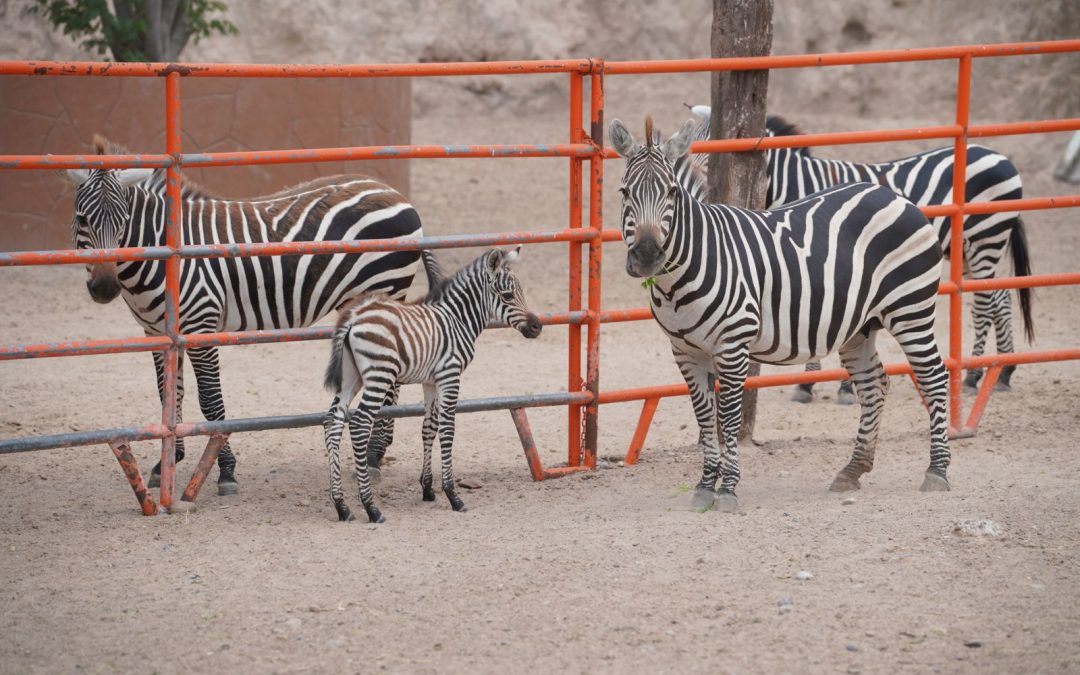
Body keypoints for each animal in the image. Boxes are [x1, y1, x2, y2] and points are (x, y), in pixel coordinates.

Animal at [58, 134, 434, 495]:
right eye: (82, 219)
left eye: (124, 222)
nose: (105, 288)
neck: (166, 253)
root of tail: (394, 193)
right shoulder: (159, 334)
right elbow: (169, 395)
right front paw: (167, 463)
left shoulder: (201, 326)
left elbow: (211, 402)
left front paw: (224, 470)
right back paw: (375, 453)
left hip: (385, 288)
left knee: (391, 380)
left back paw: (372, 455)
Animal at [321, 246, 542, 523]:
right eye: (508, 295)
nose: (537, 327)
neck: (458, 320)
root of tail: (353, 315)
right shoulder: (450, 375)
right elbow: (448, 429)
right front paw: (452, 495)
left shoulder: (430, 381)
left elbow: (429, 427)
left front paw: (427, 488)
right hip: (380, 374)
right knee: (360, 423)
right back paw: (371, 508)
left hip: (351, 376)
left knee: (332, 421)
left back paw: (342, 506)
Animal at [611, 116, 953, 512]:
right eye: (624, 192)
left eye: (672, 193)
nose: (647, 255)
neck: (683, 276)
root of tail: (895, 197)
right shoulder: (685, 351)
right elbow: (704, 417)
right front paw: (704, 485)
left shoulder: (733, 345)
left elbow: (728, 416)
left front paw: (728, 489)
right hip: (861, 327)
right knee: (874, 385)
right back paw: (852, 470)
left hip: (911, 309)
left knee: (935, 378)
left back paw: (937, 472)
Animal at [686, 106, 1034, 403]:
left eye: (709, 155)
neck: (797, 184)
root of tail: (997, 154)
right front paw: (817, 384)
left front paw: (825, 385)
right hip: (971, 249)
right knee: (1000, 297)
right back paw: (1002, 371)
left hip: (984, 238)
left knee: (985, 303)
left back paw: (975, 374)